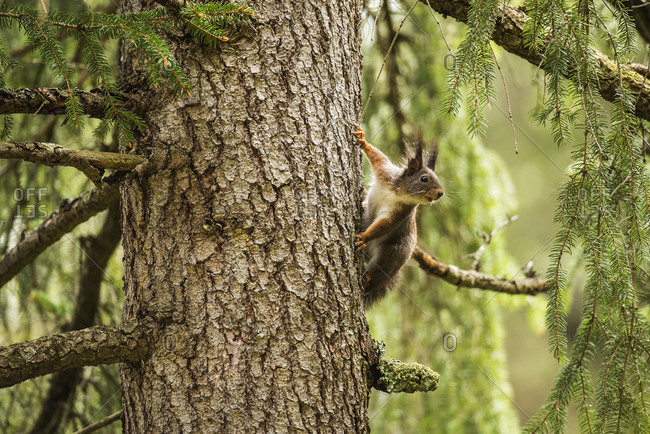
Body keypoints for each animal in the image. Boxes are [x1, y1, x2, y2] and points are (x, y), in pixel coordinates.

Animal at [353, 124, 443, 306]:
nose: (440, 193)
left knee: (380, 270)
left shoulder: (401, 212)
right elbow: (378, 158)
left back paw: (369, 278)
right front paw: (362, 139)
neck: (399, 193)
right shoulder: (386, 173)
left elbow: (384, 224)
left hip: (394, 252)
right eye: (424, 179)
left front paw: (364, 237)